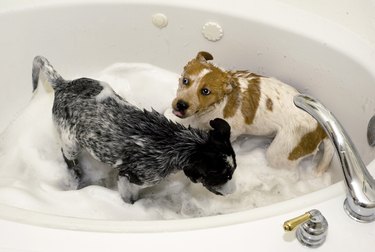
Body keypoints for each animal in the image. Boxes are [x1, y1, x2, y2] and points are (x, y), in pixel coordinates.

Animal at [33, 56, 238, 204]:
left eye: (233, 171)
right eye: (223, 175)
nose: (234, 191)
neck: (174, 142)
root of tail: (62, 84)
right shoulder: (129, 178)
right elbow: (129, 199)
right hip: (70, 141)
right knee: (68, 157)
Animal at [167, 51, 334, 173]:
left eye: (205, 91)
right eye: (185, 81)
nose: (181, 105)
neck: (218, 103)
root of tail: (321, 129)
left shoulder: (232, 131)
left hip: (282, 152)